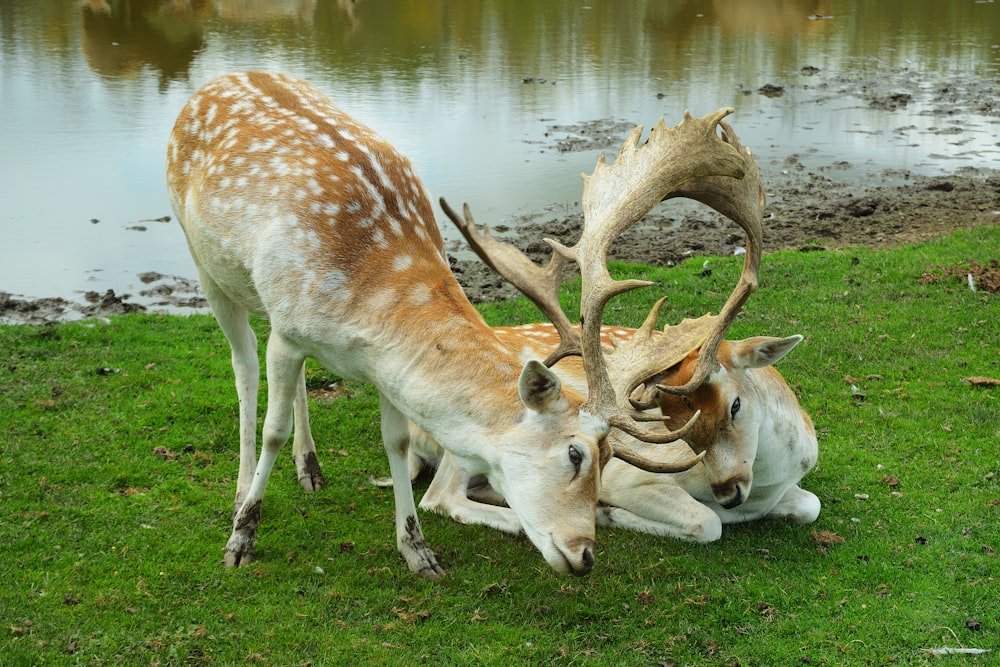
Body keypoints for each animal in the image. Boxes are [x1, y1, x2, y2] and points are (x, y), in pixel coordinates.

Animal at [166, 70, 752, 576]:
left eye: (609, 458)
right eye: (574, 453)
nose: (585, 554)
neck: (365, 302)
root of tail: (215, 81)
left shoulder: (376, 364)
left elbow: (396, 443)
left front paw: (416, 550)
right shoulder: (290, 331)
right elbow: (272, 428)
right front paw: (242, 539)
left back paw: (310, 469)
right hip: (205, 266)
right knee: (244, 367)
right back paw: (242, 494)